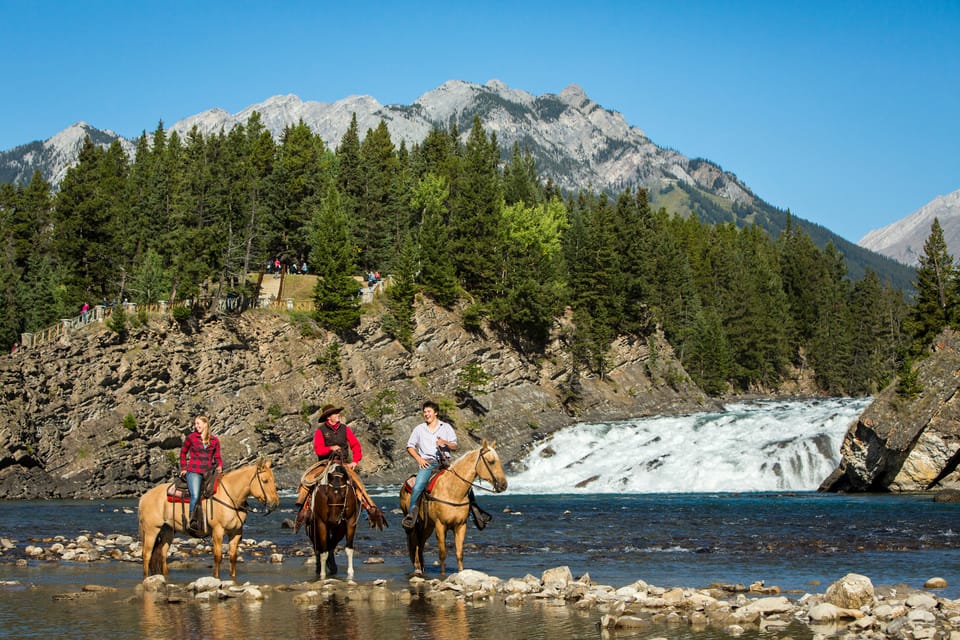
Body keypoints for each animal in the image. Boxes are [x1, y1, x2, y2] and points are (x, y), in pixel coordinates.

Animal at [139, 456, 282, 580]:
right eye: (265, 480)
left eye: (274, 480)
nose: (275, 503)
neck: (231, 497)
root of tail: (144, 496)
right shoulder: (218, 531)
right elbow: (218, 556)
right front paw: (216, 577)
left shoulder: (236, 532)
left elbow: (233, 557)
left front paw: (233, 577)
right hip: (151, 530)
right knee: (146, 554)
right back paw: (146, 577)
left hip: (168, 530)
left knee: (162, 553)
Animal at [400, 440, 510, 576]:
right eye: (491, 461)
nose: (503, 485)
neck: (453, 491)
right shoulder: (440, 525)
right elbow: (442, 554)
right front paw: (443, 576)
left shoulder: (461, 525)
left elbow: (459, 554)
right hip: (414, 523)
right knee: (414, 541)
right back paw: (417, 568)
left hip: (428, 525)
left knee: (420, 543)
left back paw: (422, 567)